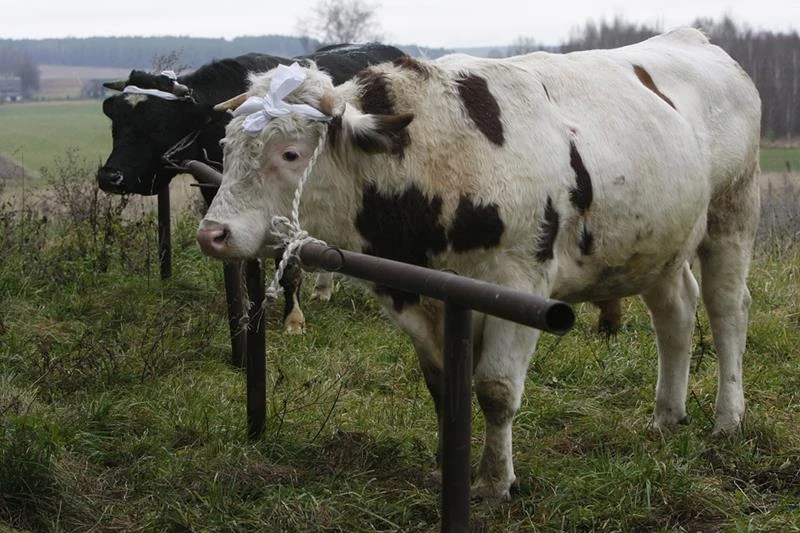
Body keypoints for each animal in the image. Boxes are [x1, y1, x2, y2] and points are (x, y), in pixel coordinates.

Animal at [99, 43, 406, 332]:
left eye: (159, 125)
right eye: (116, 122)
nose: (110, 177)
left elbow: (289, 267)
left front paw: (293, 318)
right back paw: (322, 288)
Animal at [197, 28, 760, 502]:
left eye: (291, 153)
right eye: (225, 146)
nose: (212, 234)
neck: (438, 159)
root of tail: (694, 38)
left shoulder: (522, 284)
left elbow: (495, 390)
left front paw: (493, 483)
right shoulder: (419, 295)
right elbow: (444, 387)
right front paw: (449, 466)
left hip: (732, 212)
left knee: (727, 308)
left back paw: (727, 418)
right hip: (657, 244)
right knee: (676, 312)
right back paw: (667, 415)